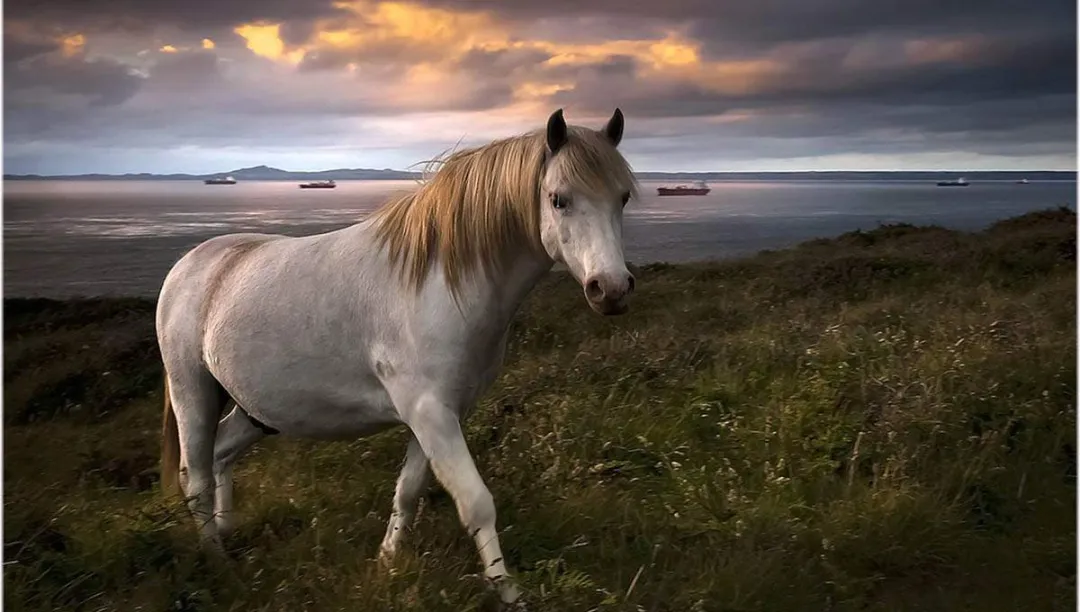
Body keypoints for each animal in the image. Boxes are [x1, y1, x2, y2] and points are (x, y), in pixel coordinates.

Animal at [156, 106, 635, 604]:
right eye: (559, 200)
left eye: (621, 197)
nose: (612, 289)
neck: (441, 282)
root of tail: (190, 264)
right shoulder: (430, 414)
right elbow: (477, 503)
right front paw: (507, 591)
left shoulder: (441, 415)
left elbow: (408, 490)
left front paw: (387, 562)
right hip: (192, 392)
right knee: (195, 477)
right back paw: (217, 562)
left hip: (255, 411)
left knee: (220, 455)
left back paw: (227, 531)